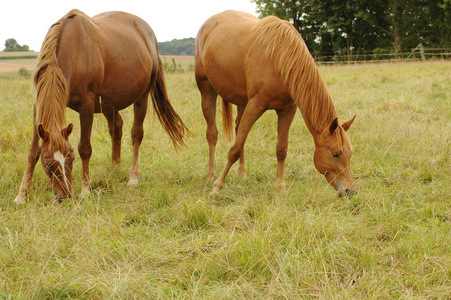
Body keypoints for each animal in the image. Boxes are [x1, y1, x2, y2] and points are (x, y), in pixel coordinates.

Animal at [13, 9, 187, 203]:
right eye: (49, 163)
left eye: (71, 158)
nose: (66, 196)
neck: (73, 50)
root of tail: (148, 34)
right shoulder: (38, 108)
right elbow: (33, 152)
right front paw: (21, 195)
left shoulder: (86, 105)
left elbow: (85, 148)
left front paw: (85, 190)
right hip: (109, 103)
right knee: (116, 128)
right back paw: (114, 169)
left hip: (142, 97)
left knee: (136, 134)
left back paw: (133, 177)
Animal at [196, 9, 358, 197]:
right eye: (335, 154)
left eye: (350, 154)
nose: (350, 191)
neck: (280, 59)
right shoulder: (255, 106)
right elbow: (234, 150)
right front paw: (217, 186)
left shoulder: (287, 110)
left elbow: (281, 149)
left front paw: (280, 186)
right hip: (207, 90)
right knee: (212, 134)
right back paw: (210, 174)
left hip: (242, 101)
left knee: (238, 129)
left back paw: (242, 172)